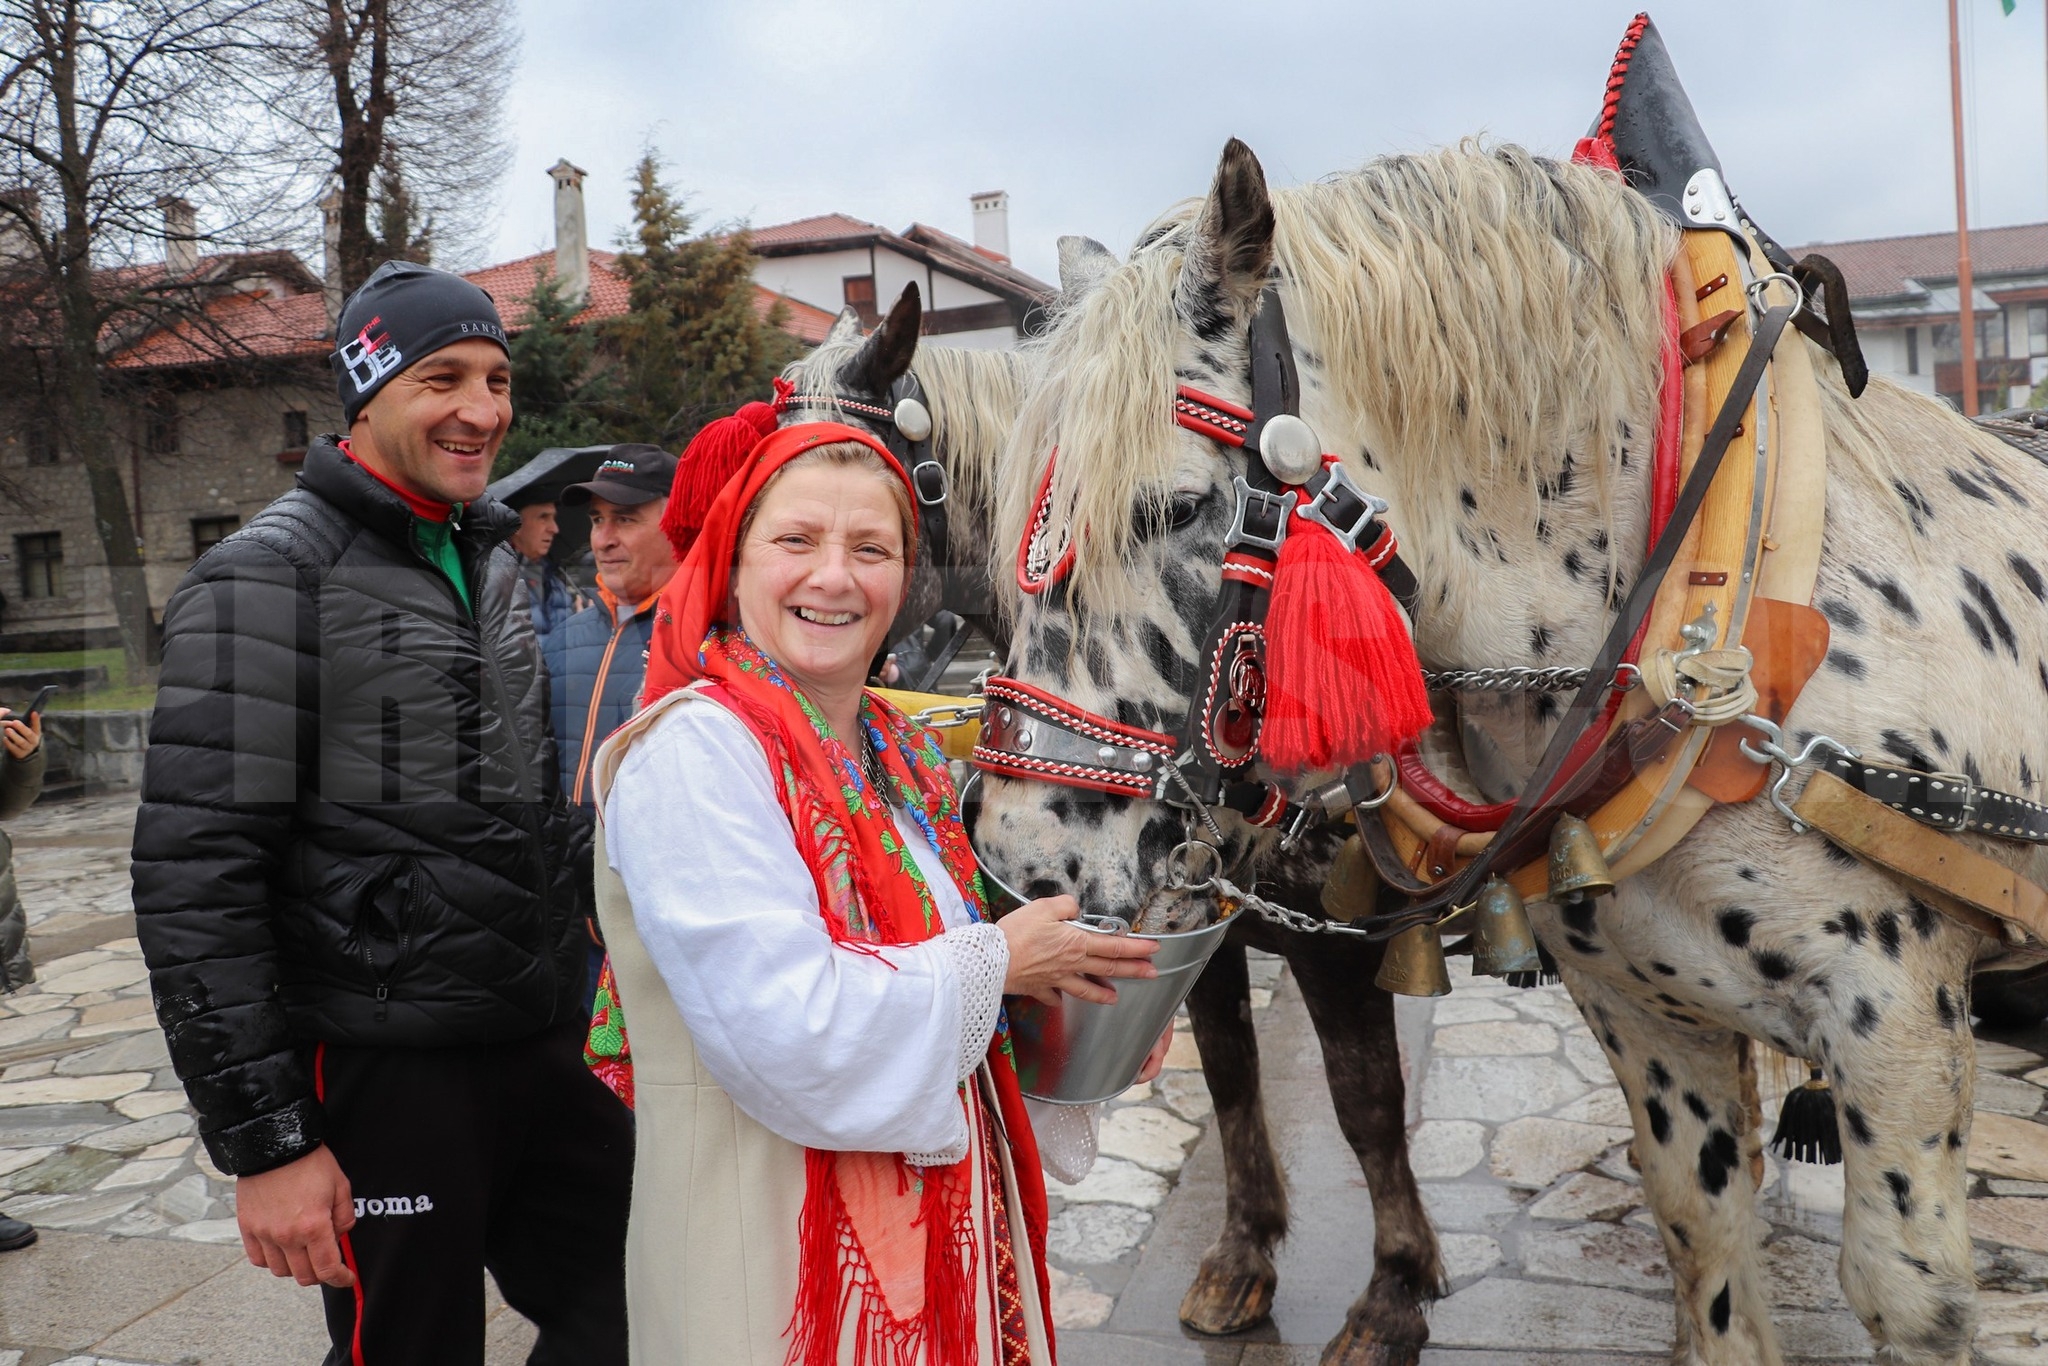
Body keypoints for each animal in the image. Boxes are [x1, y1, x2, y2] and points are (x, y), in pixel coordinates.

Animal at [974, 133, 2048, 1359]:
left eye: (1172, 508)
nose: (1017, 864)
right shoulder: (1644, 1012)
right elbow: (1704, 1245)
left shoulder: (1898, 1023)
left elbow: (1909, 1294)